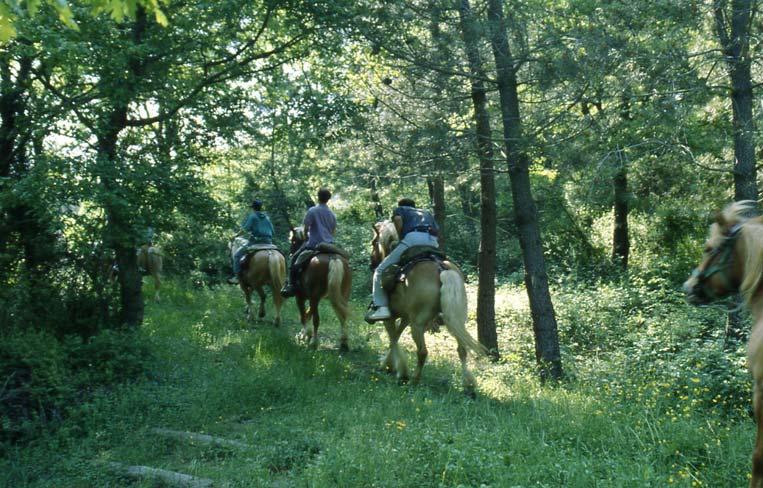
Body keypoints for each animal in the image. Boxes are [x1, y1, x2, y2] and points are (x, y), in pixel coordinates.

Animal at [374, 221, 486, 396]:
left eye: (374, 243)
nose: (372, 262)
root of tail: (442, 268)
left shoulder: (391, 317)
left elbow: (393, 339)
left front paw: (398, 369)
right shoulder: (406, 318)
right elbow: (396, 337)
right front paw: (390, 365)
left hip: (418, 325)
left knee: (422, 351)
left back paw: (414, 381)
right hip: (455, 321)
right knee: (462, 350)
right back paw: (468, 386)